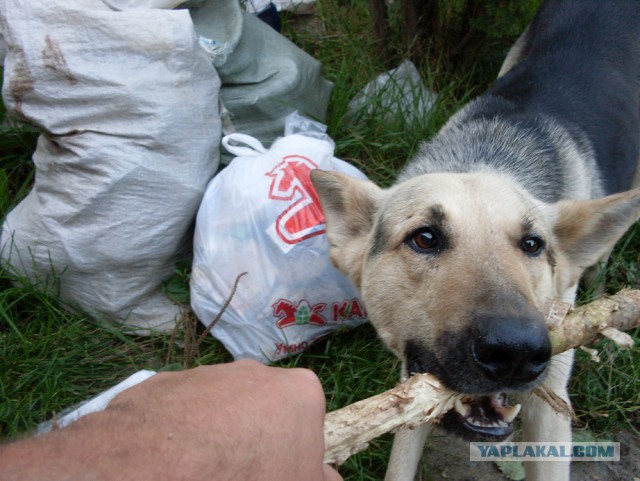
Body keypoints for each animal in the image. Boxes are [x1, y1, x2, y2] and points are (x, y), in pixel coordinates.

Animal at [312, 1, 640, 478]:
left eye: (533, 244)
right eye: (424, 238)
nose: (517, 352)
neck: (487, 154)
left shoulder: (550, 409)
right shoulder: (414, 387)